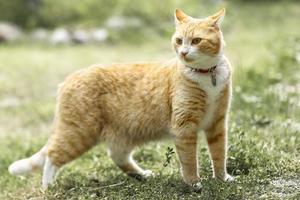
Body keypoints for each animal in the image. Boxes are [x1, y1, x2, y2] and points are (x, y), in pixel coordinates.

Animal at [8, 8, 234, 190]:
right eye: (179, 41)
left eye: (196, 41)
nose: (184, 52)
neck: (207, 75)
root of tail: (70, 77)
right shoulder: (184, 127)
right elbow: (189, 161)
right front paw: (194, 183)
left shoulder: (217, 124)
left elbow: (219, 154)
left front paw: (222, 179)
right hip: (79, 133)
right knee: (52, 156)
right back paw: (48, 186)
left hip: (124, 134)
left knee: (117, 156)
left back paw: (142, 175)